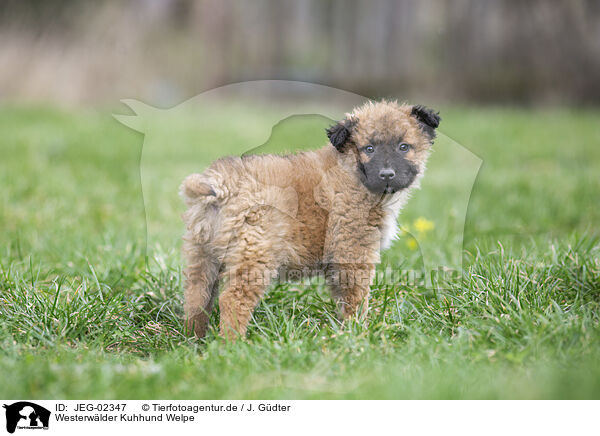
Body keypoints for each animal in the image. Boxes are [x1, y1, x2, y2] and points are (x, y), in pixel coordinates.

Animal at [180, 100, 438, 338]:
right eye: (369, 148)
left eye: (403, 147)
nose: (387, 174)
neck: (351, 170)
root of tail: (222, 183)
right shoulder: (353, 251)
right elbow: (356, 299)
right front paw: (359, 334)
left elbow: (343, 300)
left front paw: (345, 333)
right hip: (255, 256)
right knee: (233, 300)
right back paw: (234, 344)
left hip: (202, 256)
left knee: (196, 300)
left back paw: (195, 340)